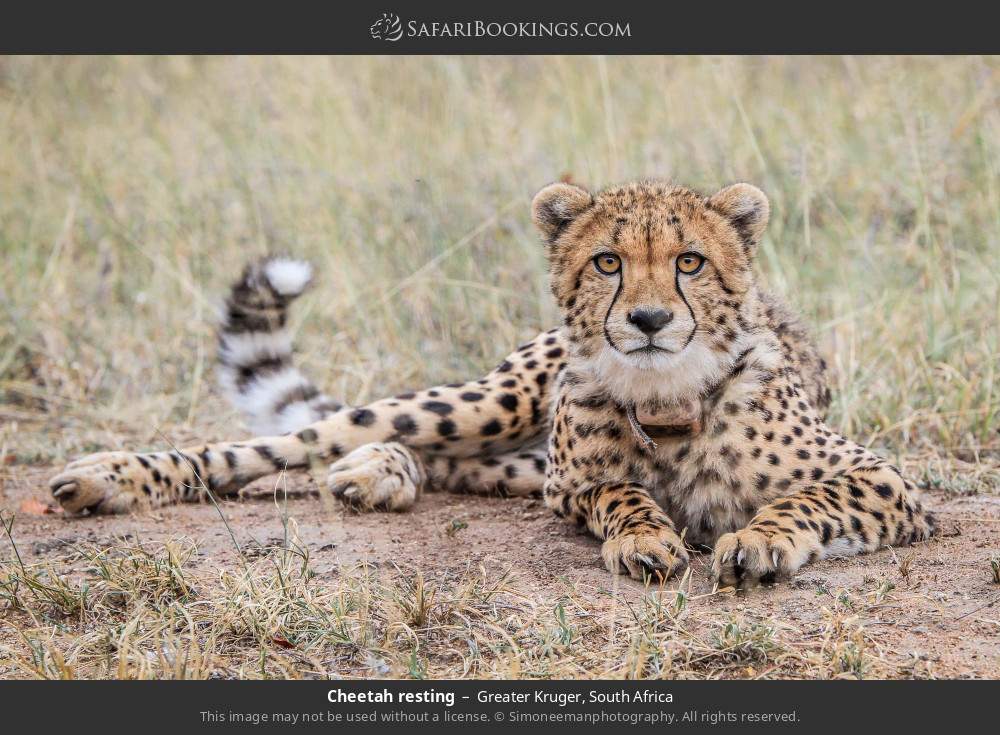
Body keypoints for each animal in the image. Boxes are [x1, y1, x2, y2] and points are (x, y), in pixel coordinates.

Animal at [47, 180, 937, 588]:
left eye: (690, 261)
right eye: (608, 261)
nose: (649, 319)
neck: (668, 399)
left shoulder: (889, 481)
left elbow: (808, 496)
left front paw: (760, 537)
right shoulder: (573, 483)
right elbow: (620, 492)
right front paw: (644, 534)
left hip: (508, 453)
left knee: (438, 460)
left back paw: (380, 475)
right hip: (493, 400)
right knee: (289, 440)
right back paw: (107, 476)